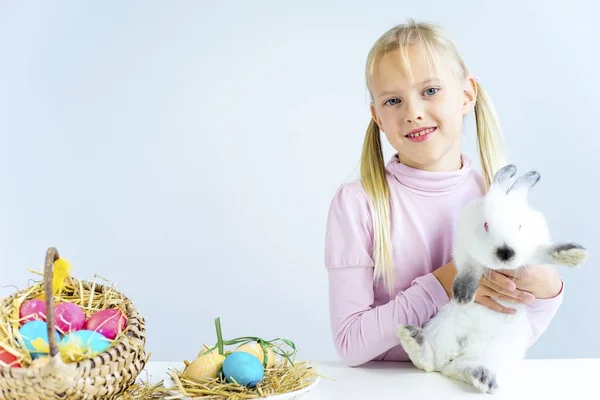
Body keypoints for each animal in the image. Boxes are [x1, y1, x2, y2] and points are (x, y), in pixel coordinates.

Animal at [396, 163, 588, 394]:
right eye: (486, 225)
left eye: (520, 226)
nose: (505, 252)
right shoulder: (464, 251)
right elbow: (470, 268)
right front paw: (463, 295)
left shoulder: (533, 252)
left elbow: (545, 252)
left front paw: (574, 255)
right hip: (442, 327)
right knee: (432, 362)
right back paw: (414, 339)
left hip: (496, 353)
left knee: (459, 367)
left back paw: (483, 377)